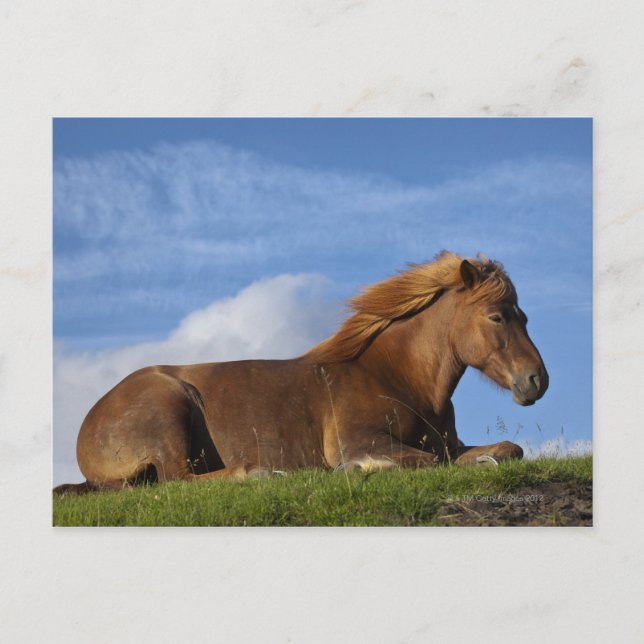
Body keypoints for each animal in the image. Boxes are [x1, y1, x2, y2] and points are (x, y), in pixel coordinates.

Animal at [53, 251, 548, 494]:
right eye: (497, 317)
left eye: (525, 316)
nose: (536, 381)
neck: (396, 378)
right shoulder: (362, 439)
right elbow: (424, 462)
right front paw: (356, 469)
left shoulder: (450, 443)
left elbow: (505, 450)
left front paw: (487, 459)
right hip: (169, 410)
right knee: (178, 480)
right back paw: (260, 475)